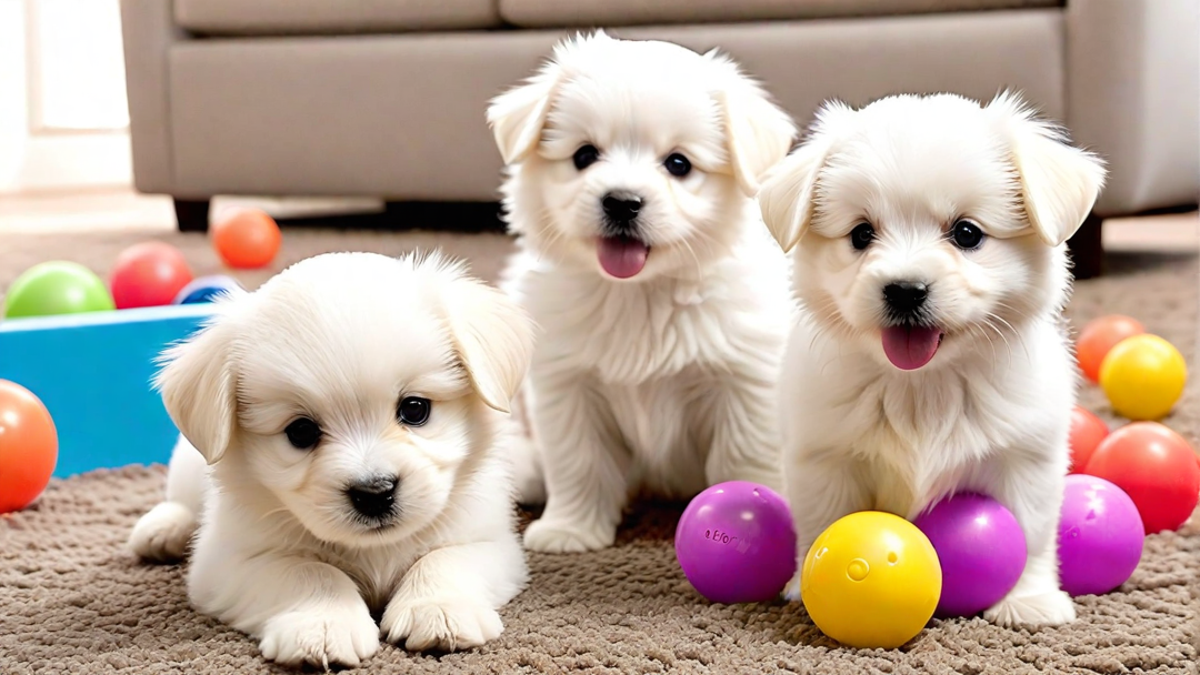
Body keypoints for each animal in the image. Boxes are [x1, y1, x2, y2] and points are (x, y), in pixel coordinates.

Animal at [126, 251, 535, 667]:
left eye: (415, 409)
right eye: (301, 432)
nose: (375, 492)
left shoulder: (489, 540)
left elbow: (444, 559)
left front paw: (438, 610)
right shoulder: (229, 562)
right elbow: (311, 571)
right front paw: (322, 626)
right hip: (187, 466)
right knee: (180, 501)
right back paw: (162, 529)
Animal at [482, 31, 801, 552]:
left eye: (678, 164)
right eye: (584, 155)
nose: (622, 201)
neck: (639, 292)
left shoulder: (744, 379)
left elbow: (742, 456)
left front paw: (748, 518)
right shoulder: (568, 383)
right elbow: (579, 459)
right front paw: (570, 530)